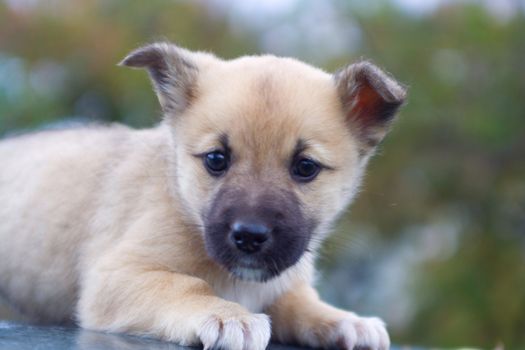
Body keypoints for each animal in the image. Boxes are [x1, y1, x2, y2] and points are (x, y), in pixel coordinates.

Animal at [0, 43, 406, 350]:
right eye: (215, 159)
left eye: (305, 167)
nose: (250, 236)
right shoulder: (115, 276)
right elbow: (185, 285)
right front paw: (228, 316)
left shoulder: (283, 284)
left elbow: (303, 302)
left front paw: (345, 320)